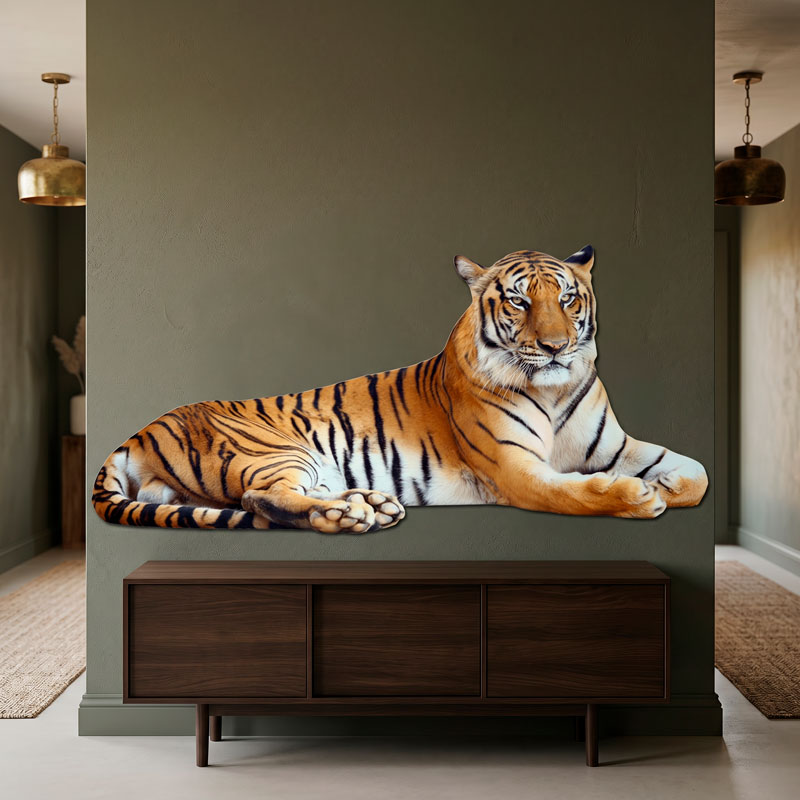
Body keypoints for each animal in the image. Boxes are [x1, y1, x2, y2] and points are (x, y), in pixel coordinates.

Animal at [92, 246, 708, 533]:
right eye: (518, 301)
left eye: (568, 298)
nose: (556, 347)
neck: (554, 390)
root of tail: (141, 430)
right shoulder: (516, 470)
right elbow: (574, 492)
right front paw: (639, 497)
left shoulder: (616, 446)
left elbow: (696, 474)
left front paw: (666, 485)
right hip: (276, 451)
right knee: (260, 499)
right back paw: (351, 517)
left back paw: (369, 504)